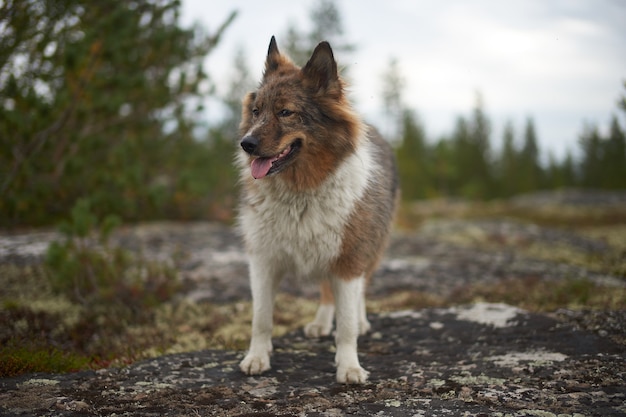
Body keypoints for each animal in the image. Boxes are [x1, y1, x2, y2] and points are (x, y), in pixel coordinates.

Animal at [234, 36, 394, 384]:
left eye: (286, 112)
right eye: (256, 111)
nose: (246, 144)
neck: (301, 192)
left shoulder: (349, 259)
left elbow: (346, 325)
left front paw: (349, 366)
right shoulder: (263, 260)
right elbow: (261, 318)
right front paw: (257, 357)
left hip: (370, 249)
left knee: (358, 292)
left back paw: (361, 321)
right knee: (326, 292)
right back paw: (320, 324)